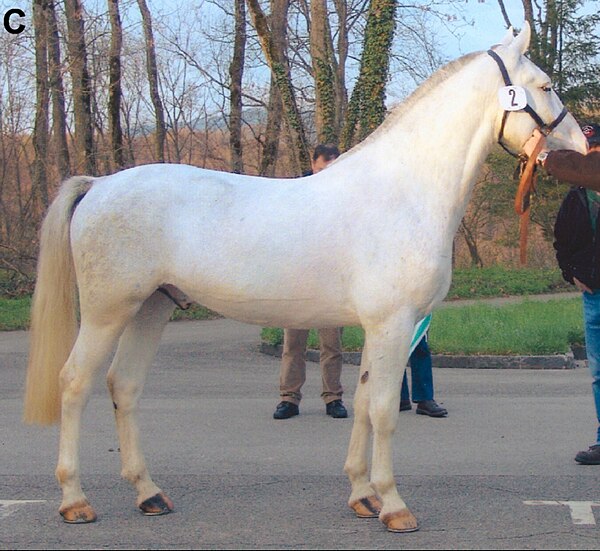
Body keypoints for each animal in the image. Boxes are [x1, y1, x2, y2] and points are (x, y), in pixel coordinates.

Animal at [22, 23, 584, 532]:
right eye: (544, 85)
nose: (580, 146)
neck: (403, 191)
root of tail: (98, 184)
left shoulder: (379, 328)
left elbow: (361, 404)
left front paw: (362, 496)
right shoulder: (393, 324)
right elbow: (384, 410)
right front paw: (394, 505)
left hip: (151, 308)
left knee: (125, 385)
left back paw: (149, 494)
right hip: (107, 312)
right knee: (75, 383)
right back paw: (75, 500)